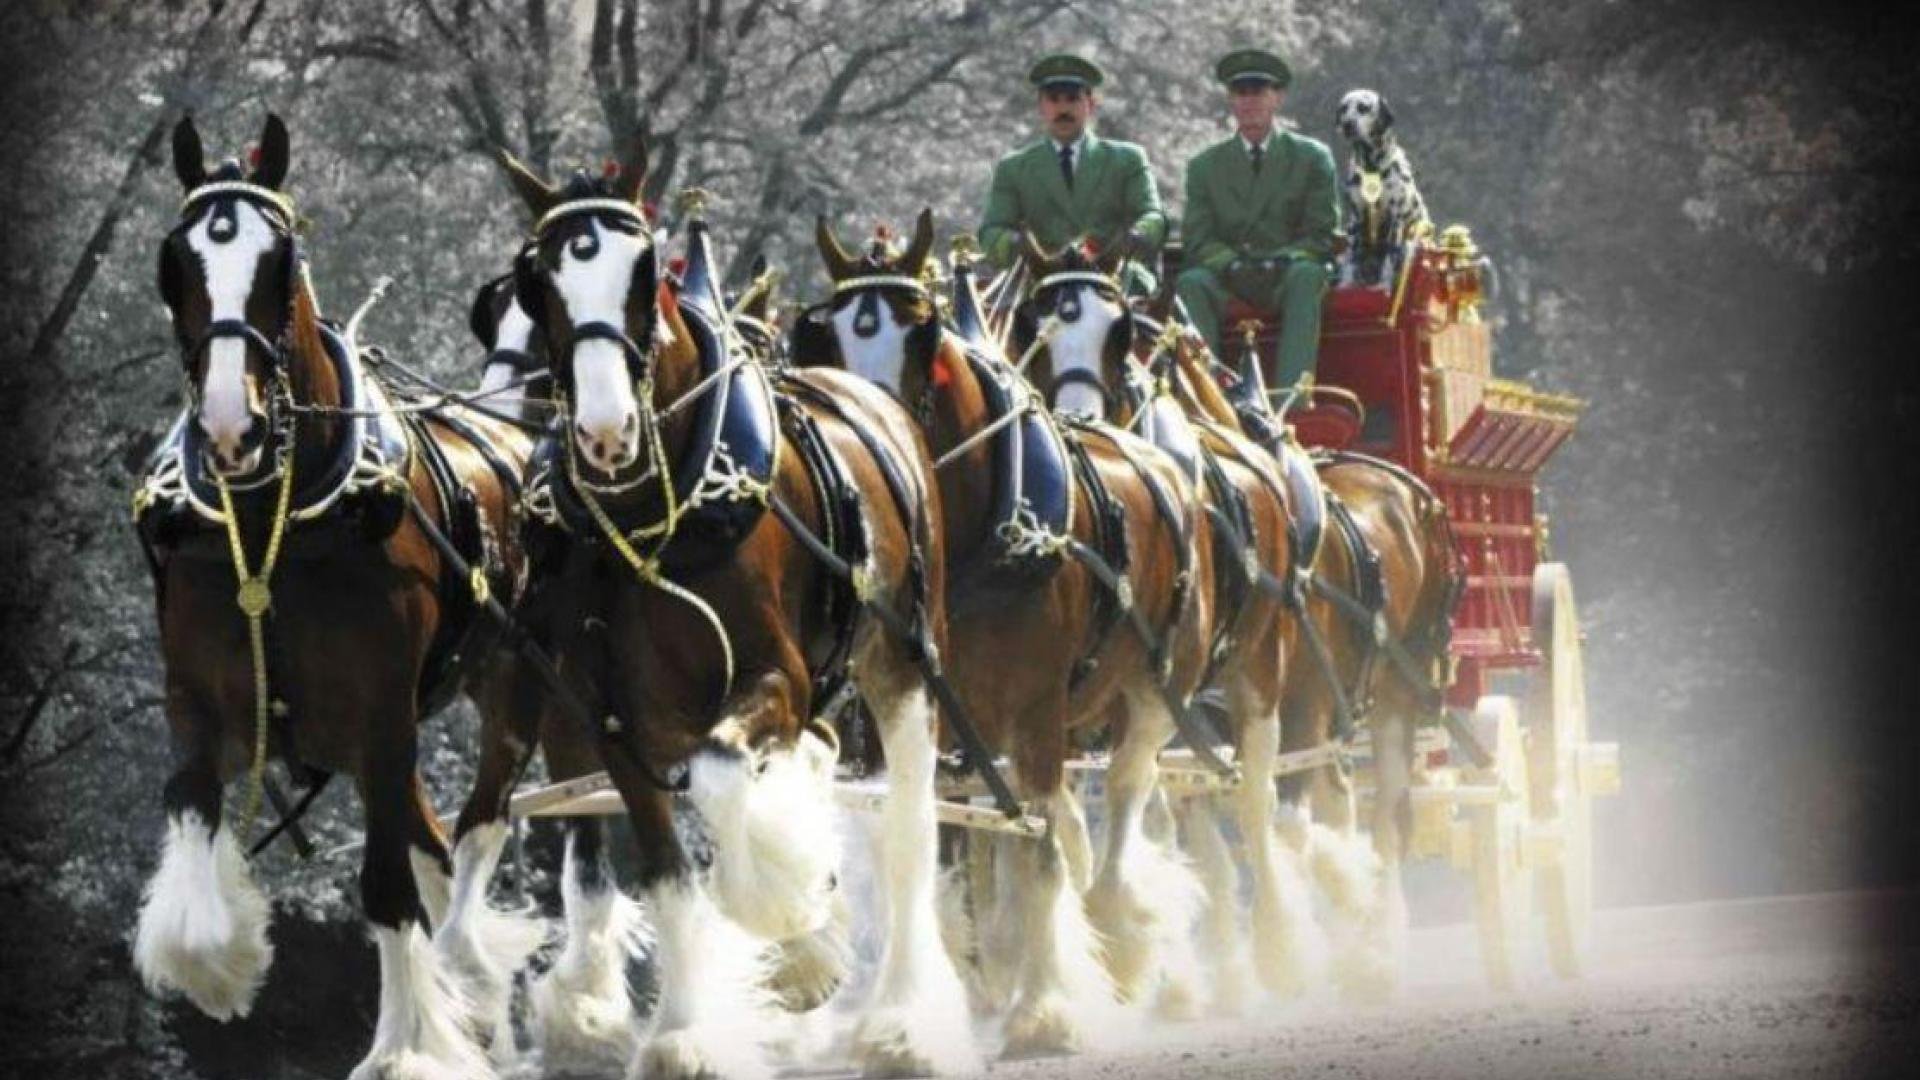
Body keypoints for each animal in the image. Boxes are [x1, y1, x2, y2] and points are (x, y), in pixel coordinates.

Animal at [133, 114, 543, 1078]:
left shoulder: (382, 715)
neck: (270, 526)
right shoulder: (199, 705)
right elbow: (192, 820)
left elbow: (387, 888)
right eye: (177, 262)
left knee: (472, 833)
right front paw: (225, 966)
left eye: (281, 261)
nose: (231, 427)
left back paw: (472, 978)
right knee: (434, 846)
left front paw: (408, 1046)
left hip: (511, 694)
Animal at [497, 150, 978, 1078]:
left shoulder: (775, 677)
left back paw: (900, 1015)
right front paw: (684, 1031)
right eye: (539, 281)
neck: (655, 517)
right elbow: (666, 871)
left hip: (903, 663)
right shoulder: (611, 722)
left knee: (906, 825)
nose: (606, 431)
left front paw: (786, 921)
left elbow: (721, 780)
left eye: (644, 270)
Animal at [795, 212, 1221, 1051]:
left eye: (923, 332)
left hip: (1156, 689)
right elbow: (935, 848)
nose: (870, 440)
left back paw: (1122, 935)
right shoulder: (920, 708)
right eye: (823, 336)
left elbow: (1042, 853)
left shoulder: (1034, 711)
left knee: (1125, 794)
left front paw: (1043, 1007)